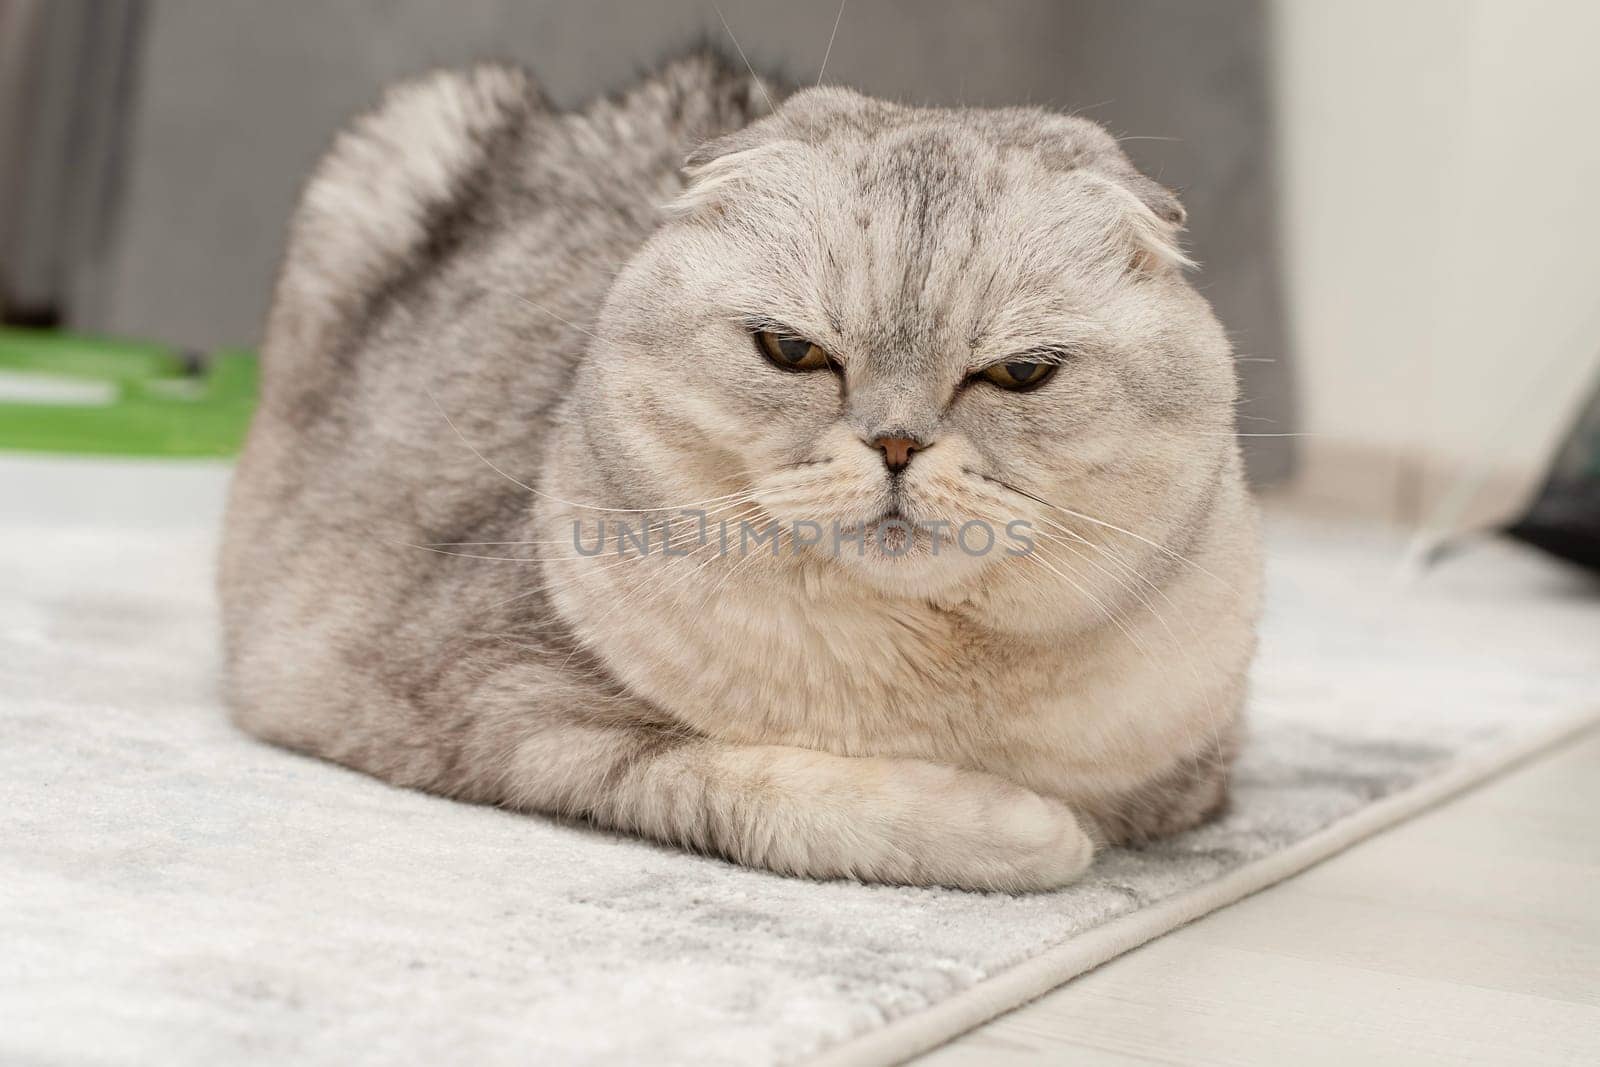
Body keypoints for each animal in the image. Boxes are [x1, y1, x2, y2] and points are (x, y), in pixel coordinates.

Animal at [219, 54, 1260, 889]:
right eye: (791, 352)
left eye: (1021, 374)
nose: (895, 443)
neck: (929, 677)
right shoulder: (509, 711)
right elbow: (775, 788)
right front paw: (1026, 828)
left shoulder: (1190, 784)